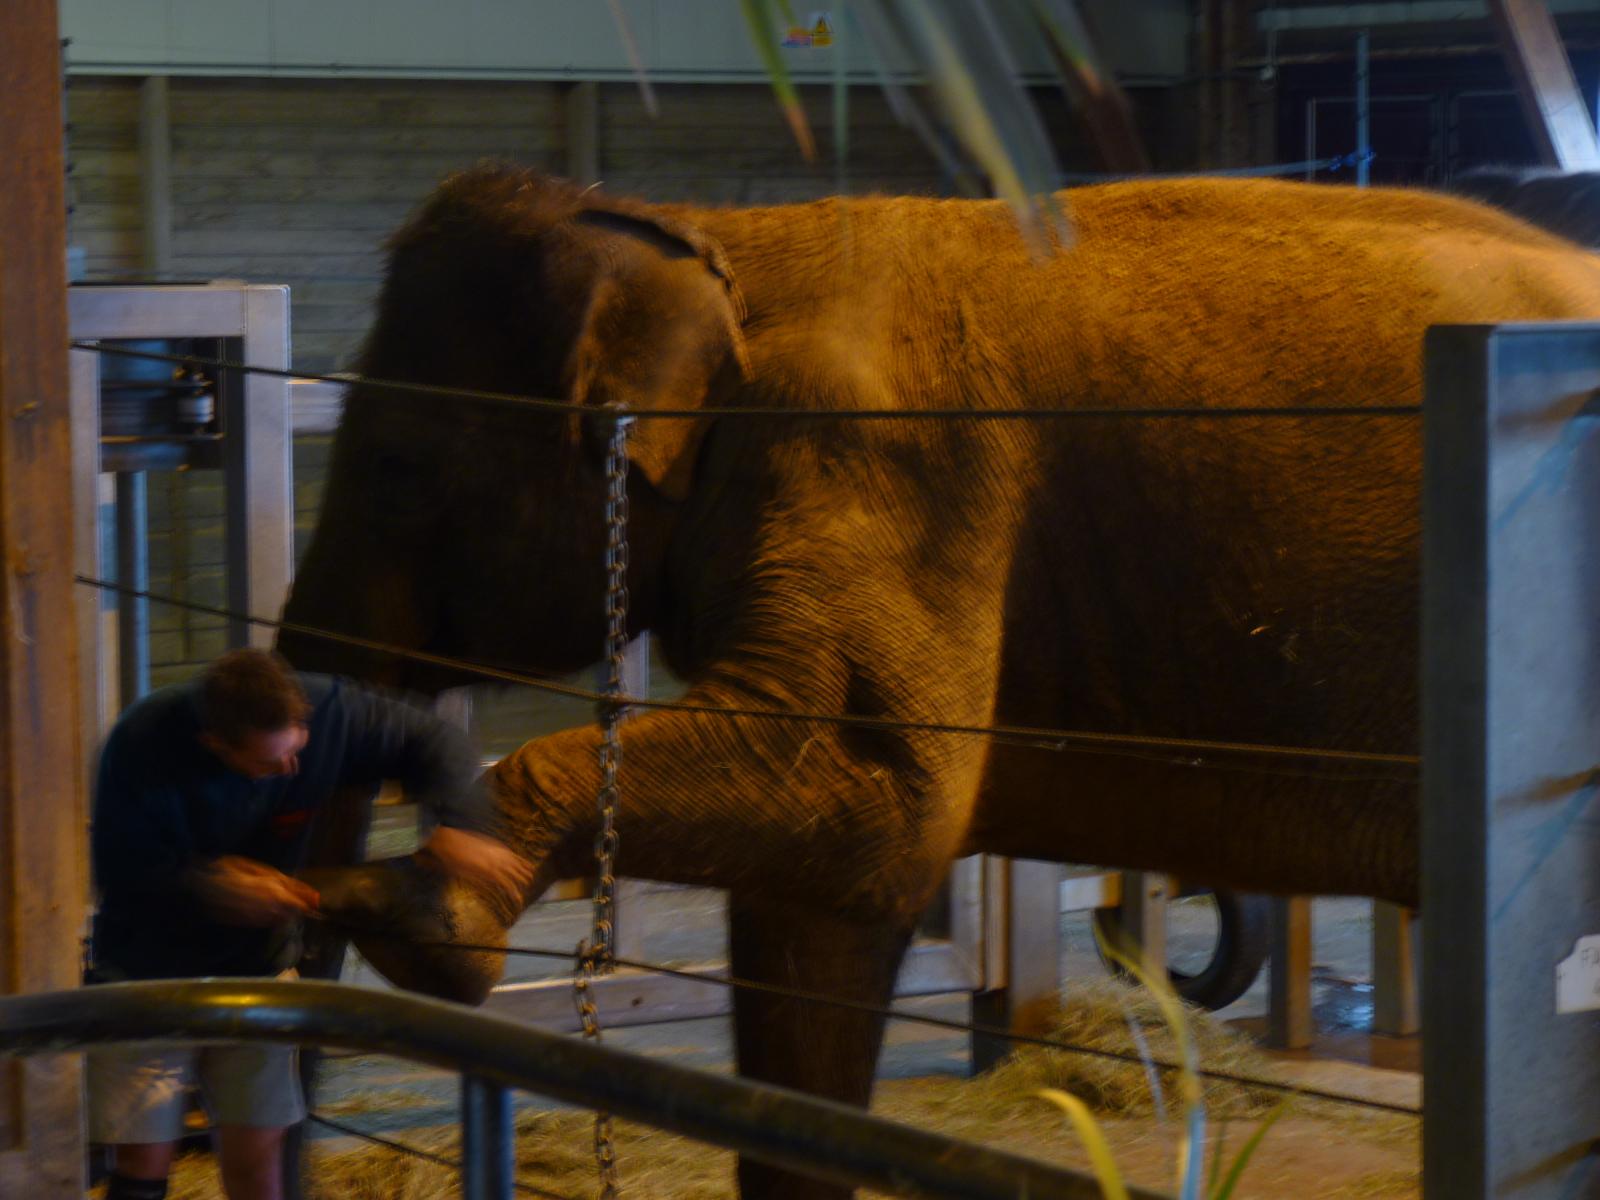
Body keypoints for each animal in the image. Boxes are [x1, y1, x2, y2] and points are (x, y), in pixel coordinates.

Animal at [278, 164, 1600, 1198]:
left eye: (396, 467)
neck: (719, 241)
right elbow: (819, 906)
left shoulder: (887, 465)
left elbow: (879, 802)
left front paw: (425, 920)